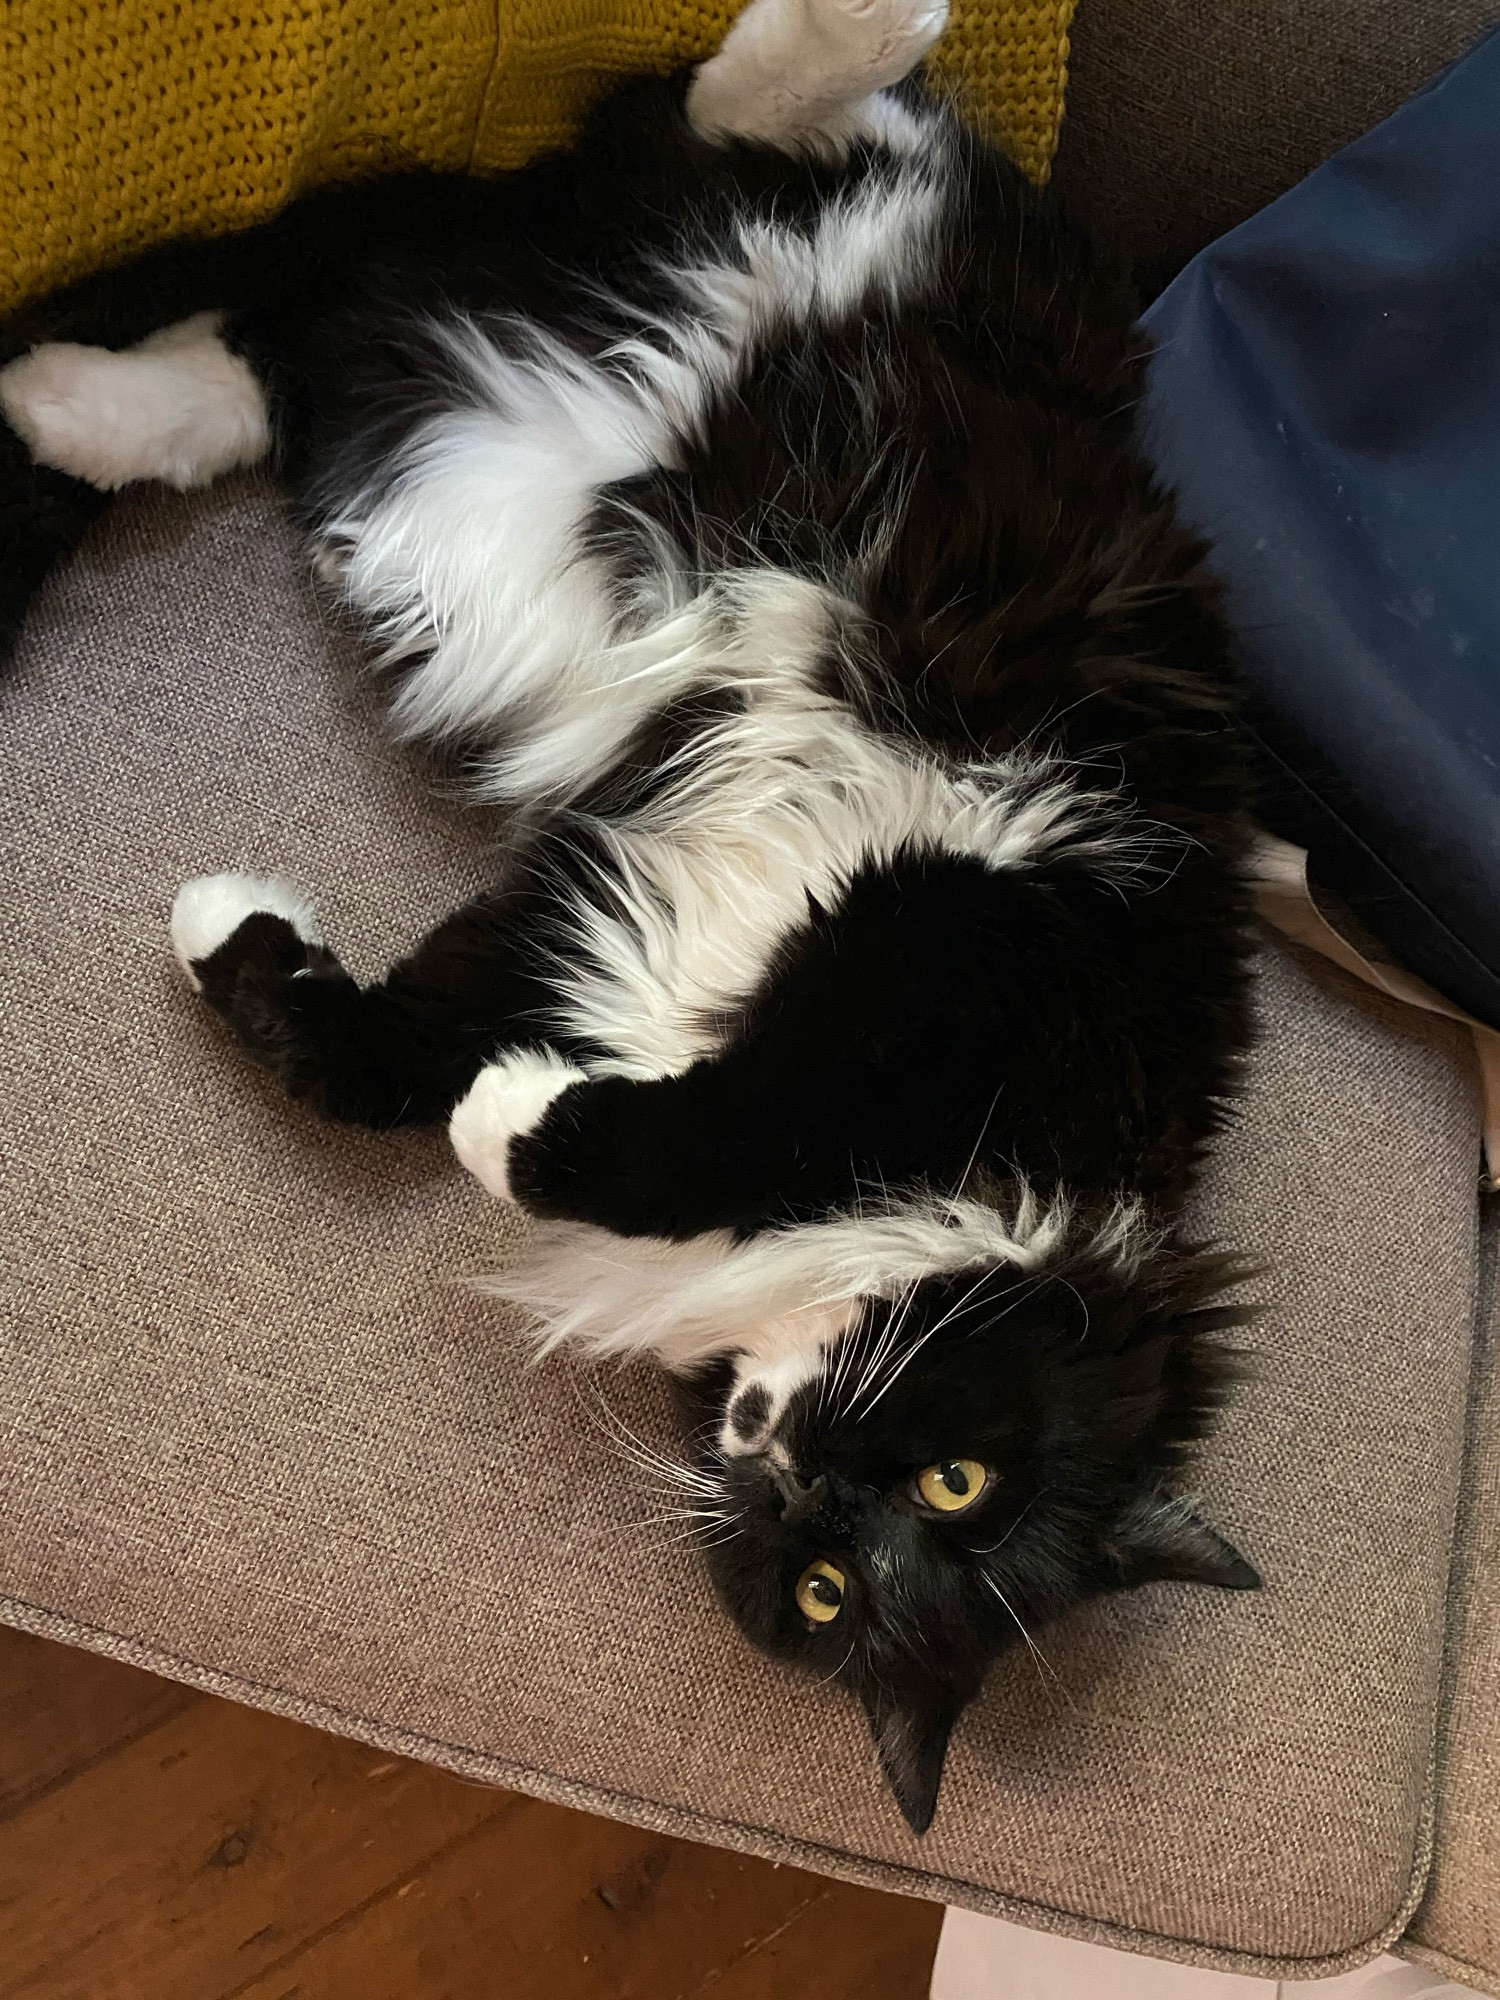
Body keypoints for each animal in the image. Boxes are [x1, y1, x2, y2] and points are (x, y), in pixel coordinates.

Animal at [0, 0, 1264, 1832]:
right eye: (963, 1482)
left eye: (831, 1590)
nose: (800, 1478)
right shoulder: (949, 947)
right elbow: (704, 1129)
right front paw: (518, 1121)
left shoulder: (603, 908)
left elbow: (385, 1061)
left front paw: (270, 958)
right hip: (962, 279)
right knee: (796, 135)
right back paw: (846, 30)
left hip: (445, 354)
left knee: (286, 357)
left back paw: (73, 405)